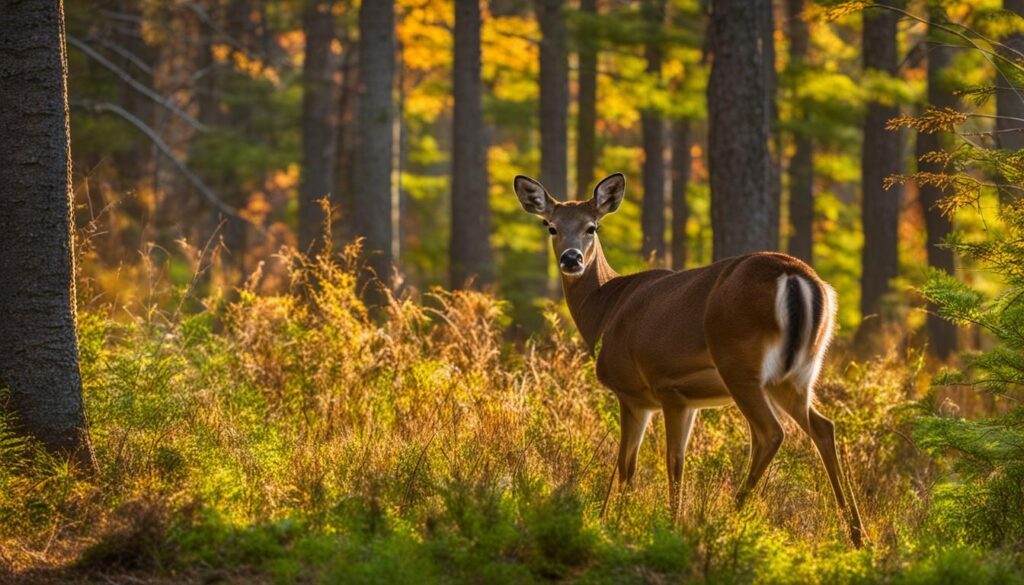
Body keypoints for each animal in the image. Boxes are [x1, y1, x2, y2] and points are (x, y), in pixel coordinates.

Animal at [512, 172, 864, 549]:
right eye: (551, 226)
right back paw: (858, 536)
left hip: (739, 363)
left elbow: (640, 462)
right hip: (797, 374)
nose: (571, 259)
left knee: (770, 433)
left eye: (593, 227)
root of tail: (796, 276)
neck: (605, 311)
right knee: (823, 427)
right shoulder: (688, 400)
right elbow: (661, 461)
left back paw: (727, 520)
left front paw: (627, 523)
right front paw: (634, 520)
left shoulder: (645, 391)